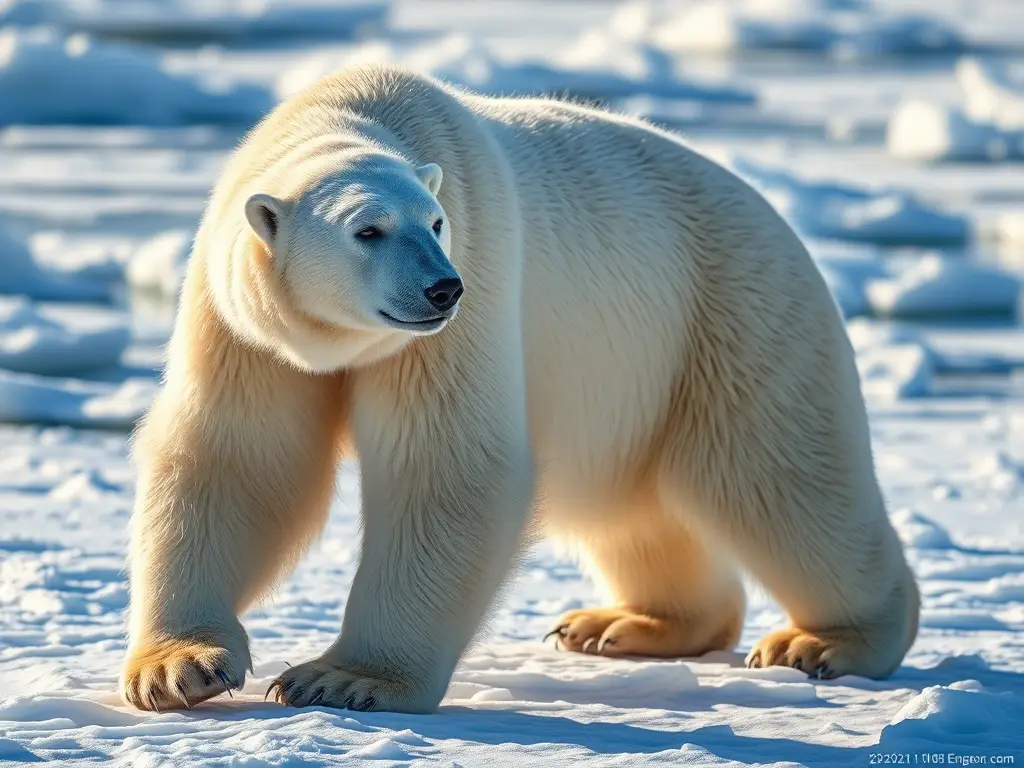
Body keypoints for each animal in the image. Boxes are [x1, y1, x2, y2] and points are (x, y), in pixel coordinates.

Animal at [120, 63, 920, 714]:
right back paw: (622, 624)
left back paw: (823, 642)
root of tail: (778, 219)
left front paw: (344, 679)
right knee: (633, 508)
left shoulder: (472, 278)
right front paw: (178, 670)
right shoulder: (243, 328)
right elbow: (237, 458)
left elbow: (448, 462)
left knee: (781, 482)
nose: (442, 288)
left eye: (435, 222)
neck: (349, 110)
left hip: (728, 315)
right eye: (367, 230)